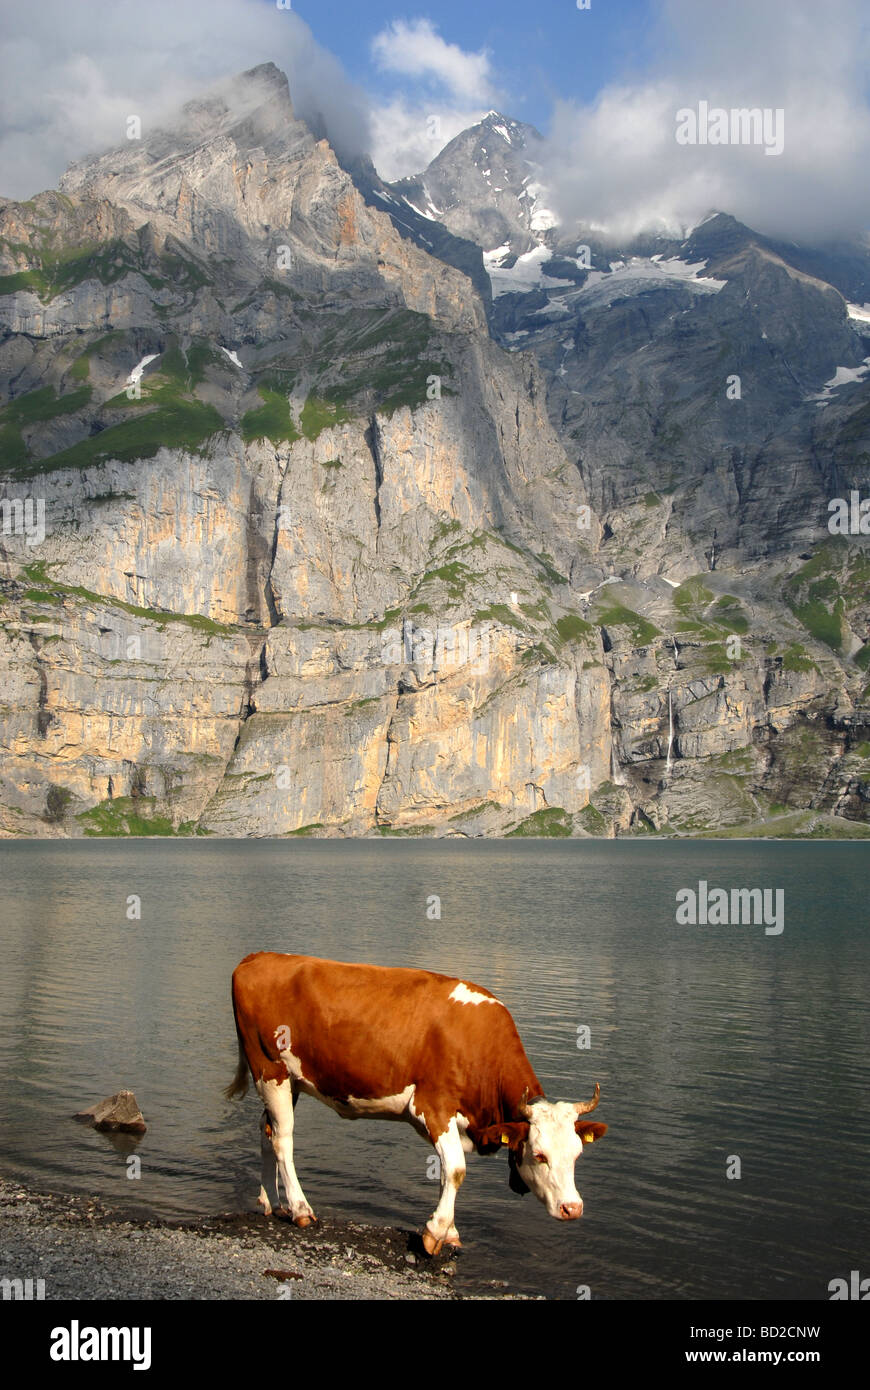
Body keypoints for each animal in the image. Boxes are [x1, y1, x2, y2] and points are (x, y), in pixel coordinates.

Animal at [226, 952, 606, 1256]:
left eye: (577, 1155)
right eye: (540, 1156)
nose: (573, 1208)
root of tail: (258, 957)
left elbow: (446, 1174)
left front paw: (448, 1231)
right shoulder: (434, 1107)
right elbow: (455, 1170)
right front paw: (434, 1233)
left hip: (289, 1081)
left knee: (266, 1130)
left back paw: (271, 1201)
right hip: (269, 1069)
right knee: (282, 1139)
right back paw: (300, 1208)